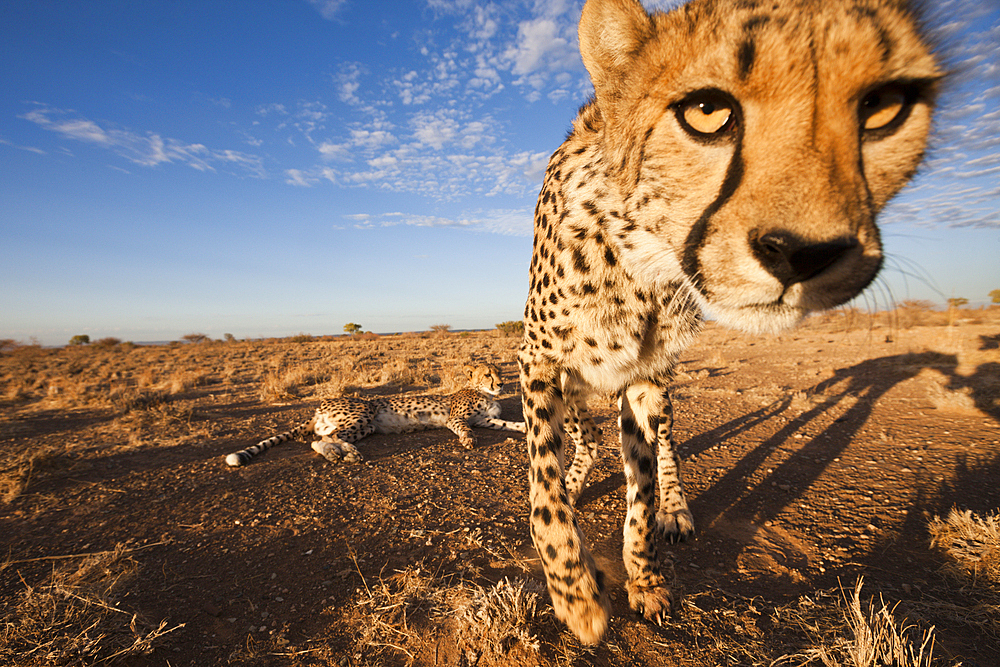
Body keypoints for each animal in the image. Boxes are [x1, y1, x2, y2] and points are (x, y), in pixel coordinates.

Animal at [225, 362, 524, 468]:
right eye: (488, 375)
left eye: (499, 372)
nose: (501, 384)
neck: (484, 393)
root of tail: (322, 403)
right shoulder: (456, 418)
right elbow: (465, 429)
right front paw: (468, 441)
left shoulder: (485, 420)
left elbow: (506, 423)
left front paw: (523, 427)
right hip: (363, 414)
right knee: (325, 439)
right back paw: (347, 454)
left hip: (365, 426)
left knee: (322, 440)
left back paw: (338, 453)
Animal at [520, 0, 940, 648]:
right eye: (707, 113)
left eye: (876, 111)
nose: (800, 253)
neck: (637, 262)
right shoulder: (539, 362)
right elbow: (544, 486)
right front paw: (576, 595)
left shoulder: (642, 378)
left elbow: (641, 494)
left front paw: (644, 578)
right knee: (582, 439)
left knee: (663, 446)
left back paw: (674, 508)